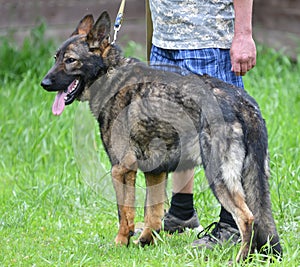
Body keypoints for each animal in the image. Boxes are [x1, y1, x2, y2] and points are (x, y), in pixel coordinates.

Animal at [41, 11, 282, 262]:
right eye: (56, 58)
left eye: (70, 60)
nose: (44, 83)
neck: (110, 75)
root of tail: (242, 102)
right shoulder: (154, 171)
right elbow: (152, 215)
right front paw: (145, 241)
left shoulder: (121, 169)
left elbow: (124, 214)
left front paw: (120, 244)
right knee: (258, 218)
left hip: (219, 176)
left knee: (247, 218)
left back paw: (240, 258)